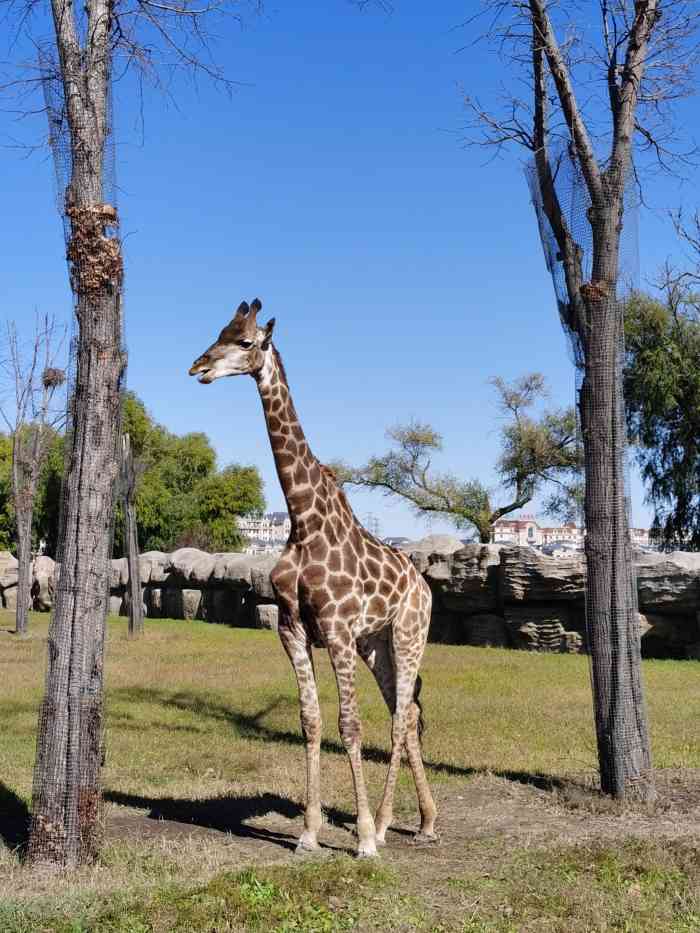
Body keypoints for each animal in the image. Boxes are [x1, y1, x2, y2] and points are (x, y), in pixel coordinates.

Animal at [189, 300, 434, 860]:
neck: (302, 520)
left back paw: (383, 826)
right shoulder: (293, 628)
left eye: (247, 342)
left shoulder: (337, 630)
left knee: (398, 716)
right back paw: (426, 821)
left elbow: (349, 723)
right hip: (376, 644)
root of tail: (426, 584)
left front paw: (361, 838)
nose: (199, 368)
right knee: (407, 711)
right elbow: (311, 721)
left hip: (408, 634)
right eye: (219, 332)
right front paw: (307, 832)